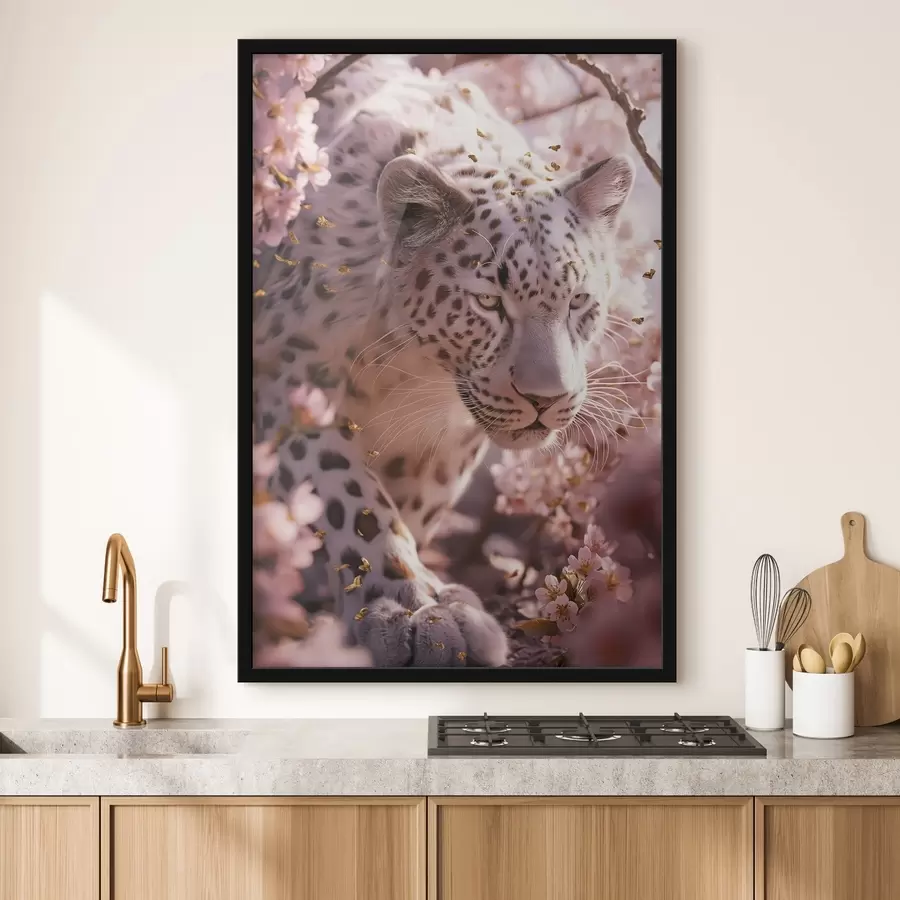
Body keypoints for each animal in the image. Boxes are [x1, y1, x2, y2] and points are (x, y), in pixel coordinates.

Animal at [252, 55, 635, 667]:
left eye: (578, 301)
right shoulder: (288, 386)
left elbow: (408, 505)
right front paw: (409, 608)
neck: (411, 369)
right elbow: (354, 501)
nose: (546, 399)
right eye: (490, 302)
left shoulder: (443, 445)